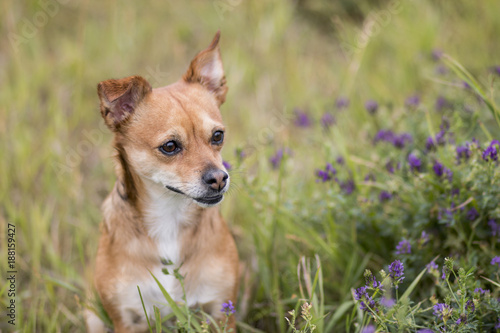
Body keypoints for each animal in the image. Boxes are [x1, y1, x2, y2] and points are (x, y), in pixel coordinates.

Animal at [87, 31, 239, 332]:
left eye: (218, 136)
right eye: (170, 146)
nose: (219, 178)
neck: (171, 217)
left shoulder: (221, 313)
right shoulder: (125, 318)